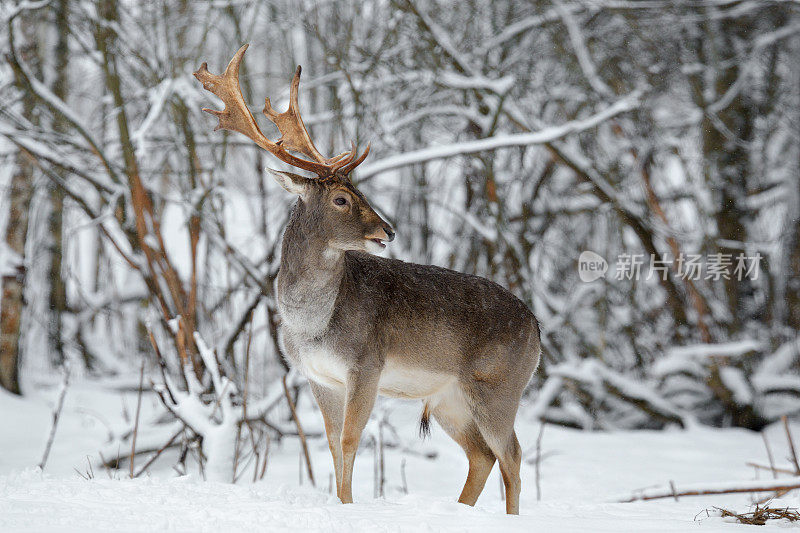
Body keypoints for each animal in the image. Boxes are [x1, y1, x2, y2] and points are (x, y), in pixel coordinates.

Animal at [196, 44, 540, 512]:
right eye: (342, 198)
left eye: (361, 191)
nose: (388, 231)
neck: (312, 324)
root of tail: (538, 330)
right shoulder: (318, 376)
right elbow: (331, 442)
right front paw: (339, 502)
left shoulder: (367, 363)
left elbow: (349, 439)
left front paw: (348, 505)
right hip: (450, 398)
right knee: (483, 456)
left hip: (498, 385)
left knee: (513, 457)